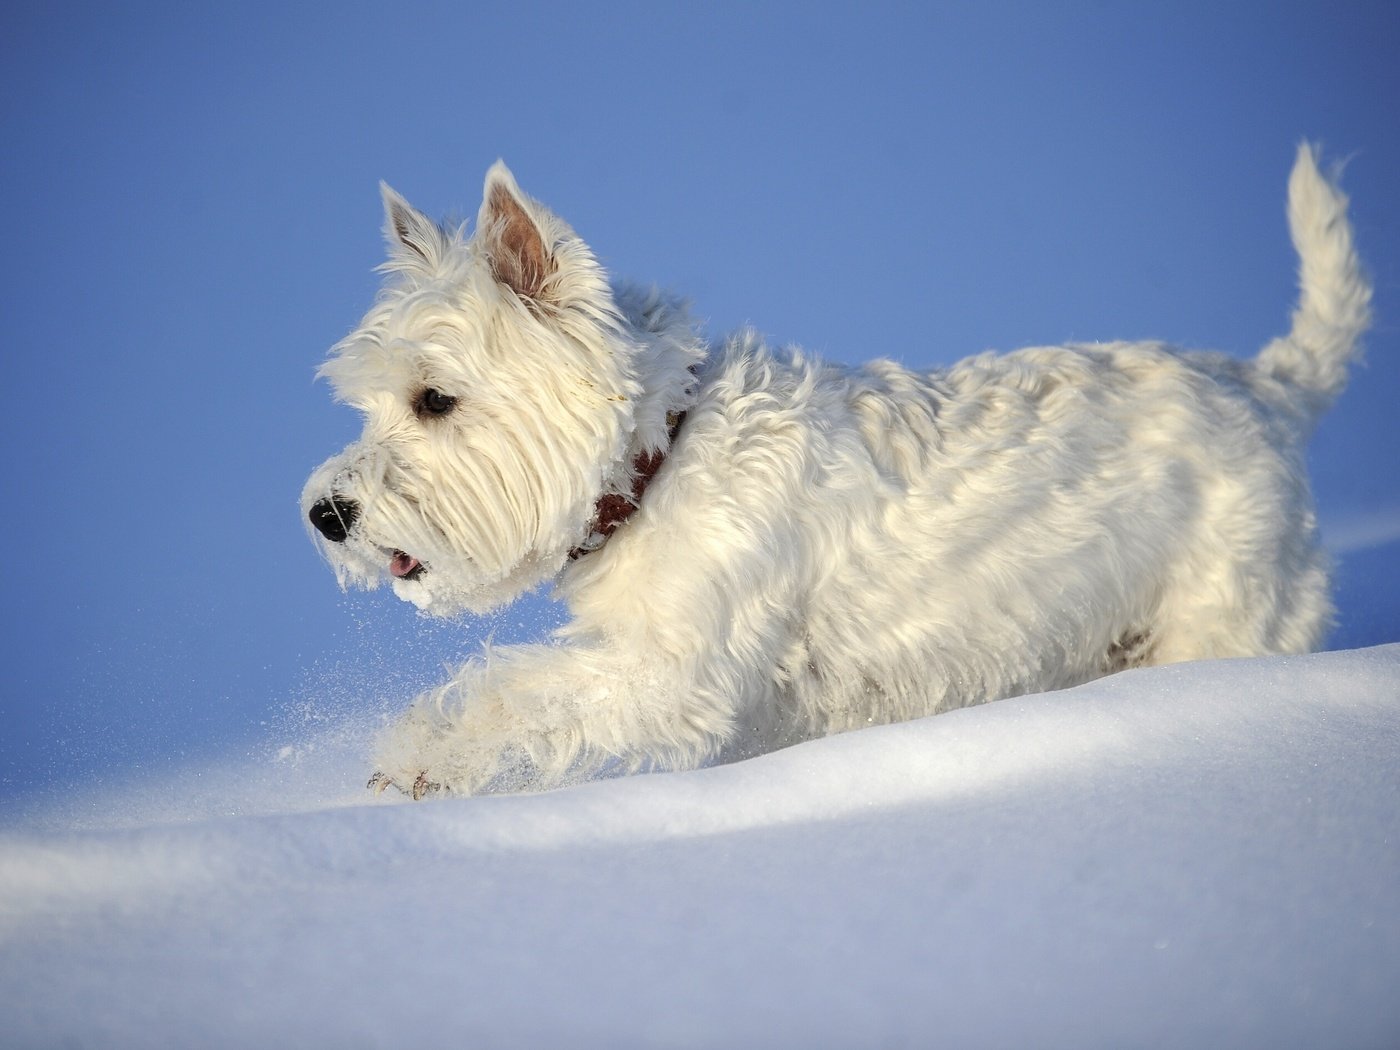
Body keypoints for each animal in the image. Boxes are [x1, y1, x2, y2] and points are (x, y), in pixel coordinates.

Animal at [303, 146, 1366, 795]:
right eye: (367, 405)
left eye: (434, 400)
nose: (325, 513)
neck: (659, 460)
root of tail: (1269, 386)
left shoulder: (675, 671)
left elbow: (516, 687)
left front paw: (416, 758)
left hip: (1226, 611)